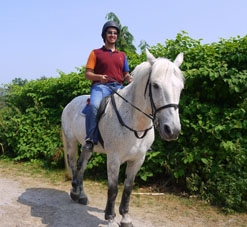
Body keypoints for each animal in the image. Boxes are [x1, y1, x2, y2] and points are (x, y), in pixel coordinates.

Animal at [61, 49, 185, 227]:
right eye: (155, 85)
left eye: (180, 87)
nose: (172, 130)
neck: (134, 119)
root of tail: (70, 103)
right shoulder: (114, 159)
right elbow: (113, 189)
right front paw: (110, 218)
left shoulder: (138, 159)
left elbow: (128, 188)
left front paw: (125, 218)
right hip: (71, 142)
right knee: (73, 165)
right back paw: (75, 192)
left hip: (87, 147)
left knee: (81, 166)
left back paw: (82, 195)